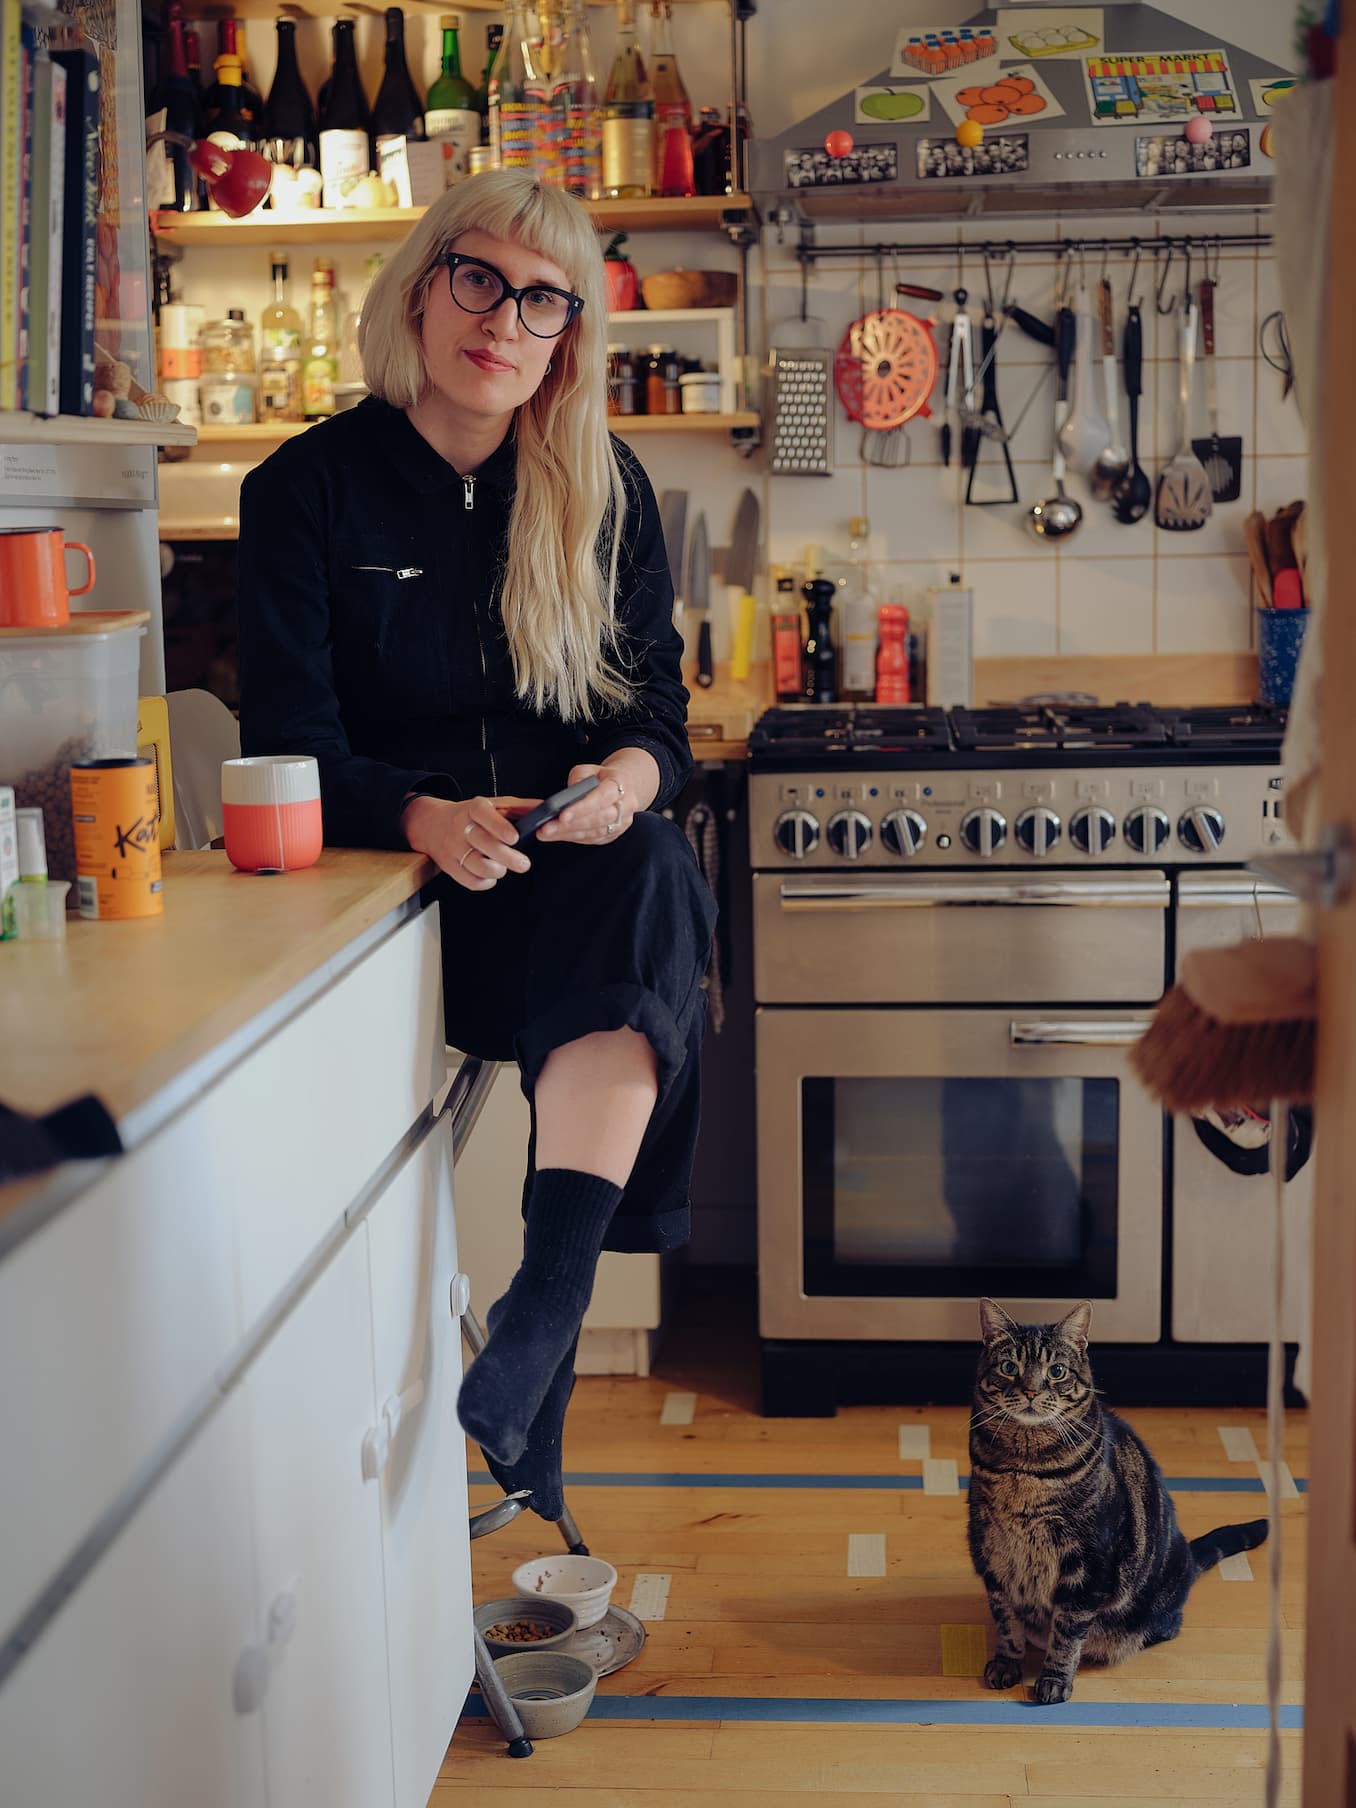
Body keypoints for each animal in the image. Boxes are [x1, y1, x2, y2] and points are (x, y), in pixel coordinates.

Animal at [969, 1301, 1272, 1692]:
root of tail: (1188, 1557)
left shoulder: (1086, 1560)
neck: (1026, 1468)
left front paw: (1054, 1680)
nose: (1032, 1391)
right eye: (1009, 1367)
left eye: (1056, 1371)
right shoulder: (991, 1549)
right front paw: (1007, 1663)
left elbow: (1067, 1629)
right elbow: (1006, 1620)